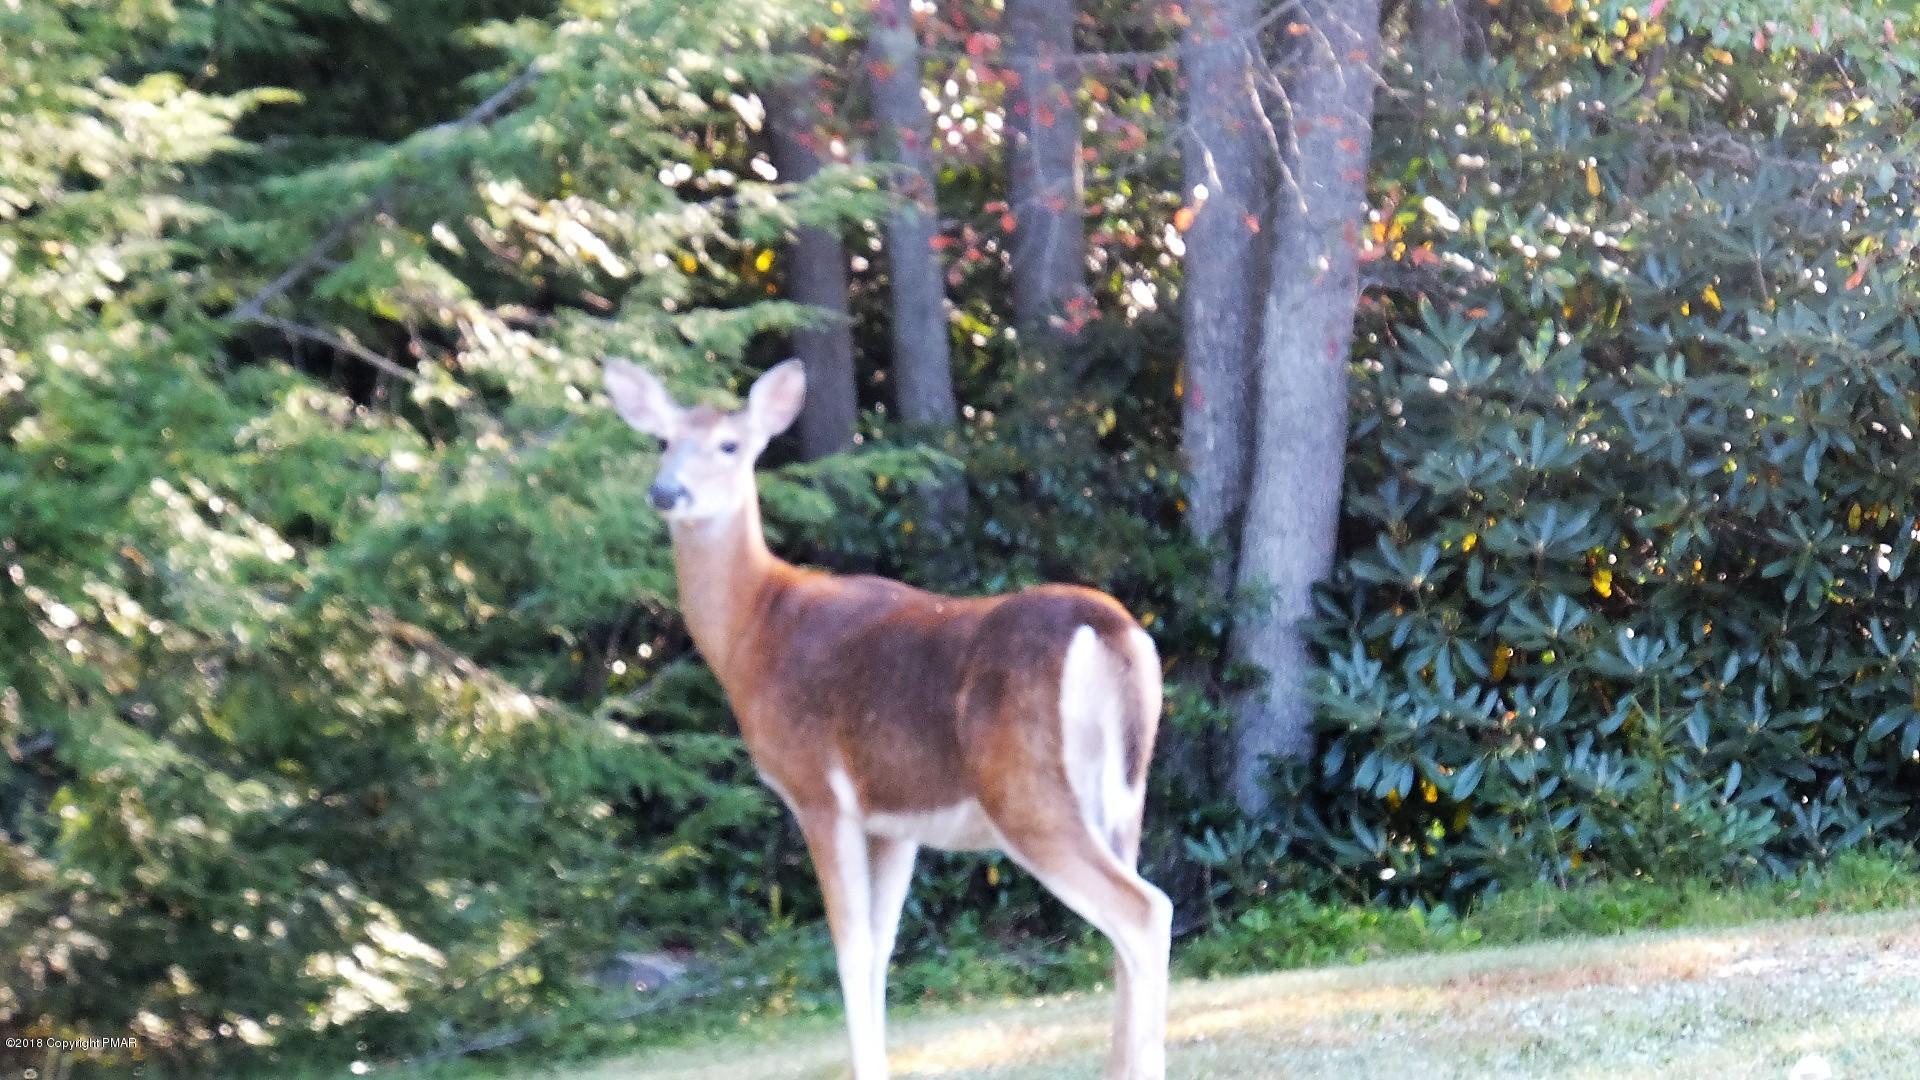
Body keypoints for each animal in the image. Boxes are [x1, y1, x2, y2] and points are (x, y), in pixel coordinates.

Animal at [603, 357, 1172, 1079]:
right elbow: (881, 948)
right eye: (663, 441)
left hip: (1026, 791)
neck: (755, 632)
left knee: (1144, 911)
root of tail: (1110, 628)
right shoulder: (896, 821)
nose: (666, 492)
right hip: (1125, 795)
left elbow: (849, 949)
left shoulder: (819, 794)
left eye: (730, 445)